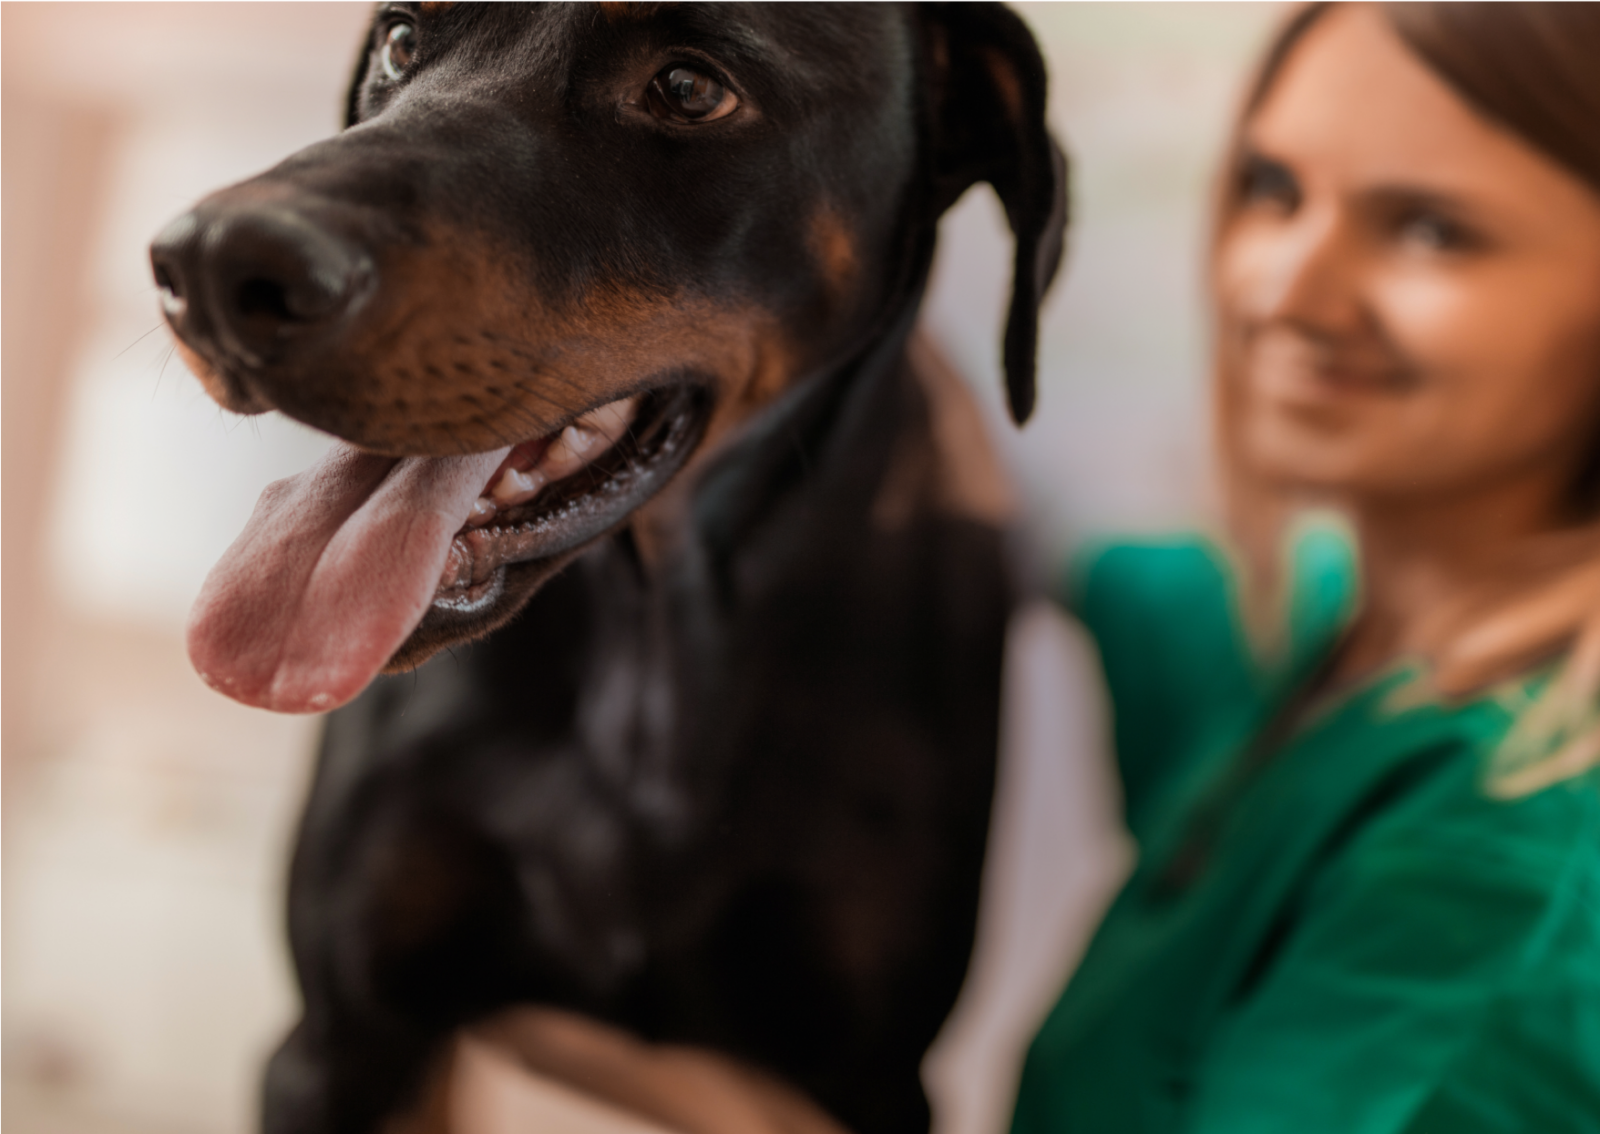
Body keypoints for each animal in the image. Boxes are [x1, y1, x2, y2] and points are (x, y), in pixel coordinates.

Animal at [150, 2, 1062, 1132]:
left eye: (689, 88)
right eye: (401, 40)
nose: (209, 267)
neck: (656, 644)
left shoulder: (867, 1082)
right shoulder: (340, 1041)